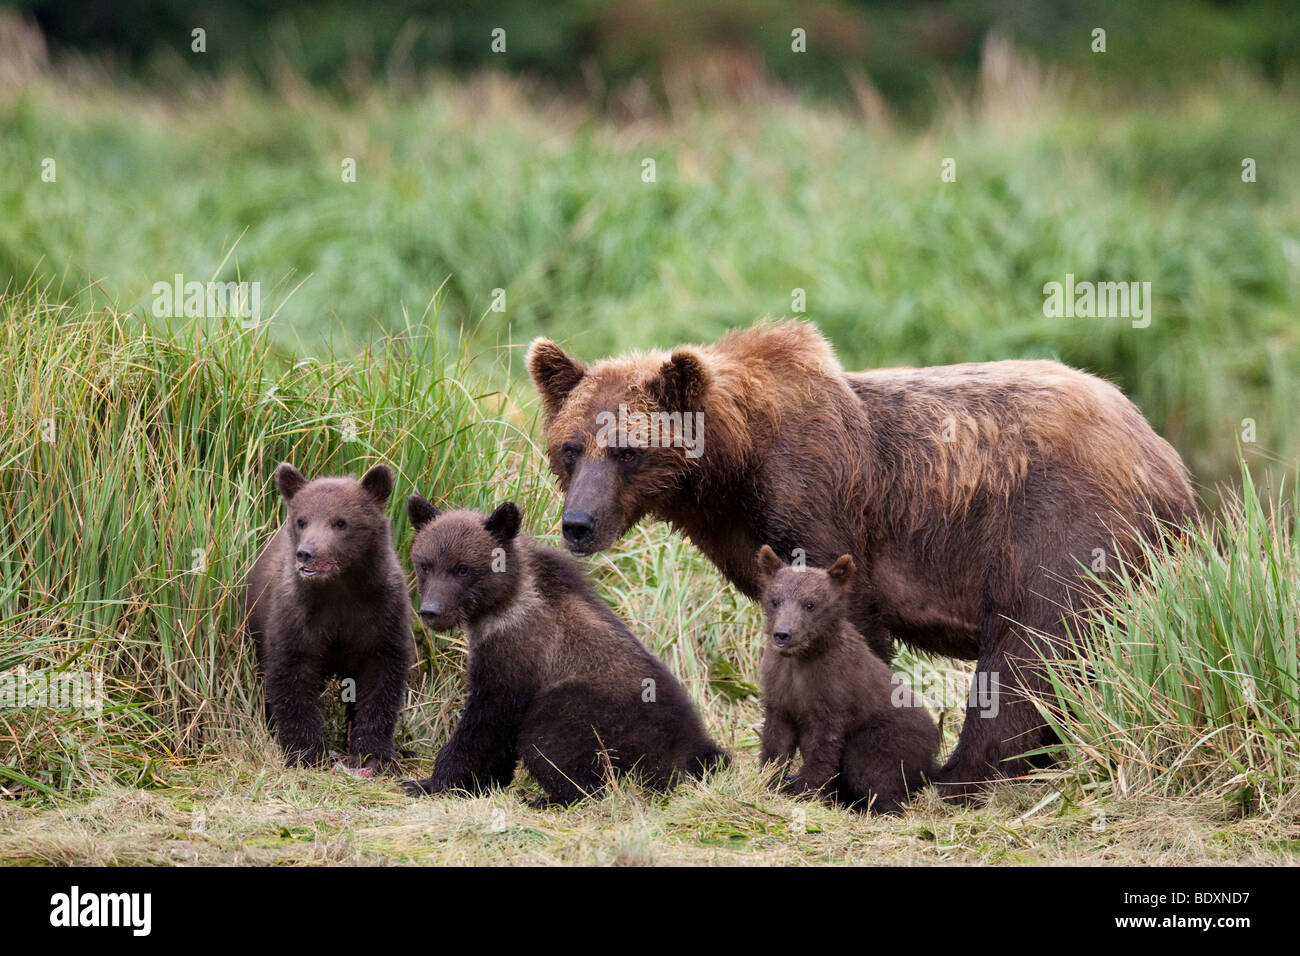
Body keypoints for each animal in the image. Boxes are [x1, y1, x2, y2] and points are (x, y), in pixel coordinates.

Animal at [527, 321, 1196, 801]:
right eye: (570, 447)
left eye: (627, 451)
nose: (578, 524)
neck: (733, 472)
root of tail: (1163, 455)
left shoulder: (822, 504)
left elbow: (851, 633)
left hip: (1055, 524)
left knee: (1028, 647)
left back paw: (959, 776)